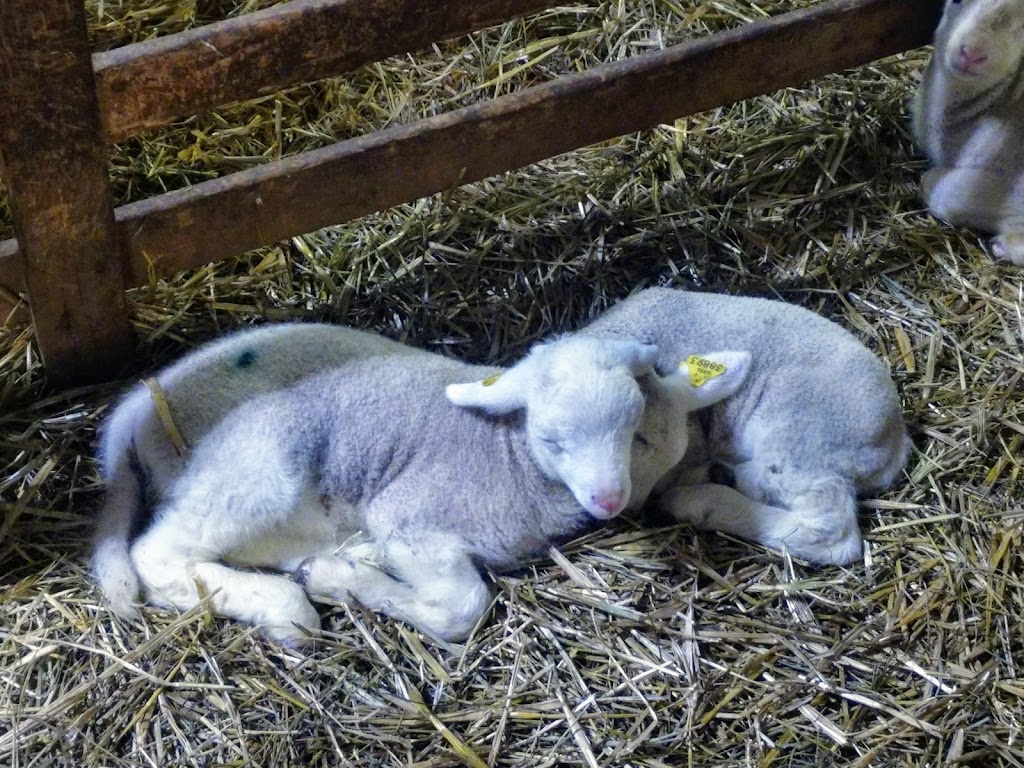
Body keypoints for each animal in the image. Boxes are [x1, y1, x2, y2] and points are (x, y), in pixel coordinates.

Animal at [92, 327, 749, 647]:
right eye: (552, 438)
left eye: (640, 433)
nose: (608, 501)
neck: (510, 457)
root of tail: (132, 413)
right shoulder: (408, 519)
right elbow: (463, 607)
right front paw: (345, 583)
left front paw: (345, 574)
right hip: (261, 470)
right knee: (158, 553)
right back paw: (286, 606)